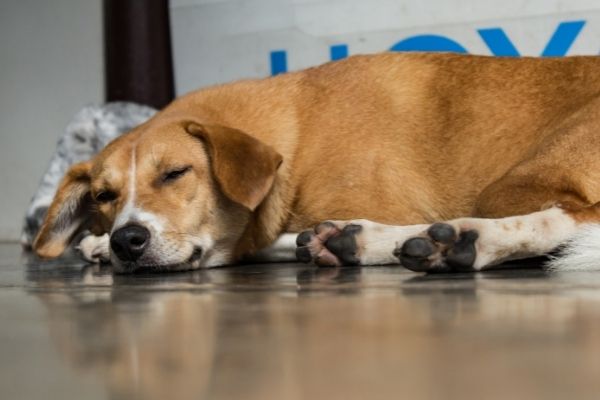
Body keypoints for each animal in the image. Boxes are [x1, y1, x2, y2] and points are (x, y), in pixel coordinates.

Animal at [31, 52, 600, 272]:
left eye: (174, 173)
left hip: (508, 187)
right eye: (104, 197)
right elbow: (281, 240)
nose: (127, 240)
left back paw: (456, 241)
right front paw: (98, 243)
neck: (294, 140)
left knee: (568, 221)